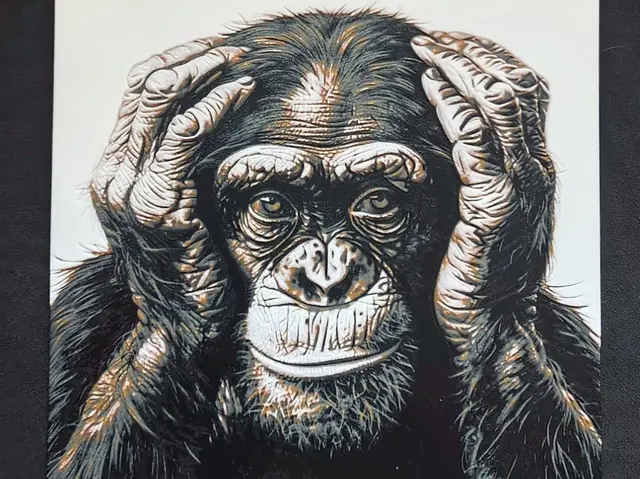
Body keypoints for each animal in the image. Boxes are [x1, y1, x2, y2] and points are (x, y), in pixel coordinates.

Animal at [47, 9, 601, 479]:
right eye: (271, 204)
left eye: (378, 200)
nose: (326, 277)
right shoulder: (79, 315)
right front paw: (169, 261)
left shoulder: (567, 340)